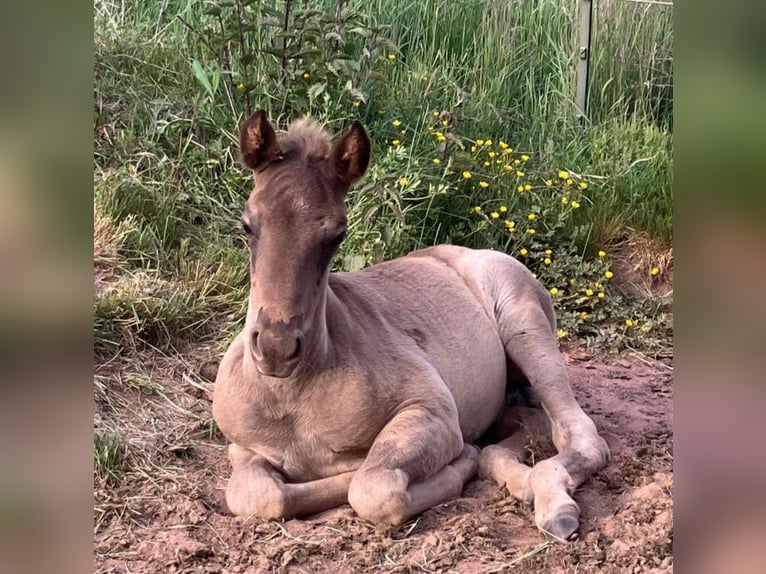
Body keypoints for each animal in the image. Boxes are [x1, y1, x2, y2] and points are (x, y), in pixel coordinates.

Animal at [212, 110, 610, 541]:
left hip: (525, 327)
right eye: (247, 225)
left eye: (337, 234)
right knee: (527, 425)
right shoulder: (242, 446)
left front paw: (457, 464)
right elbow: (258, 496)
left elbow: (371, 488)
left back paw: (554, 506)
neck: (294, 395)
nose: (276, 348)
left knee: (580, 435)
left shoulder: (432, 411)